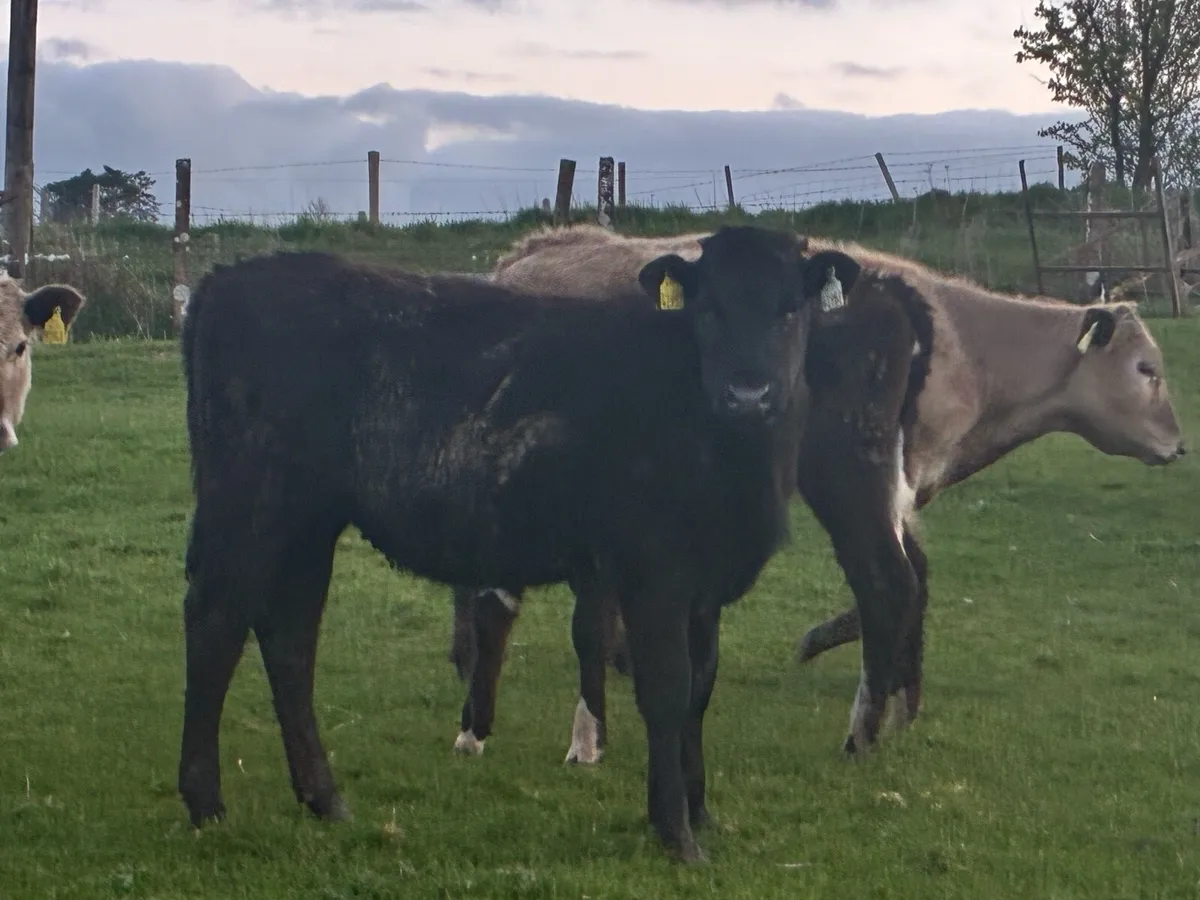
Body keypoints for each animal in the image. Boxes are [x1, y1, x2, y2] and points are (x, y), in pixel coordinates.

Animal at [176, 225, 907, 863]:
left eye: (790, 308)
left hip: (306, 520)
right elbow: (667, 690)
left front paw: (700, 812)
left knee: (289, 638)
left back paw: (324, 799)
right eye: (710, 308)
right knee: (215, 624)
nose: (747, 393)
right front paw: (675, 833)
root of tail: (229, 279)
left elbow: (701, 687)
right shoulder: (654, 570)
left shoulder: (704, 582)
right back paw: (205, 803)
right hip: (250, 503)